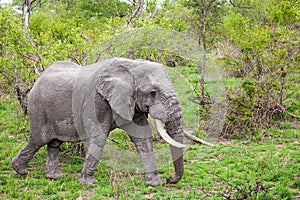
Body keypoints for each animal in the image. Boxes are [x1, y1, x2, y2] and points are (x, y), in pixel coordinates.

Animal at [12, 57, 209, 187]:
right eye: (152, 93)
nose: (170, 180)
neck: (131, 66)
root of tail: (38, 78)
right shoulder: (96, 100)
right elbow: (99, 137)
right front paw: (89, 183)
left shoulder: (132, 103)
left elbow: (142, 137)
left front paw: (154, 182)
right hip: (37, 107)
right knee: (38, 140)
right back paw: (20, 170)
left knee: (53, 143)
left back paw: (55, 177)